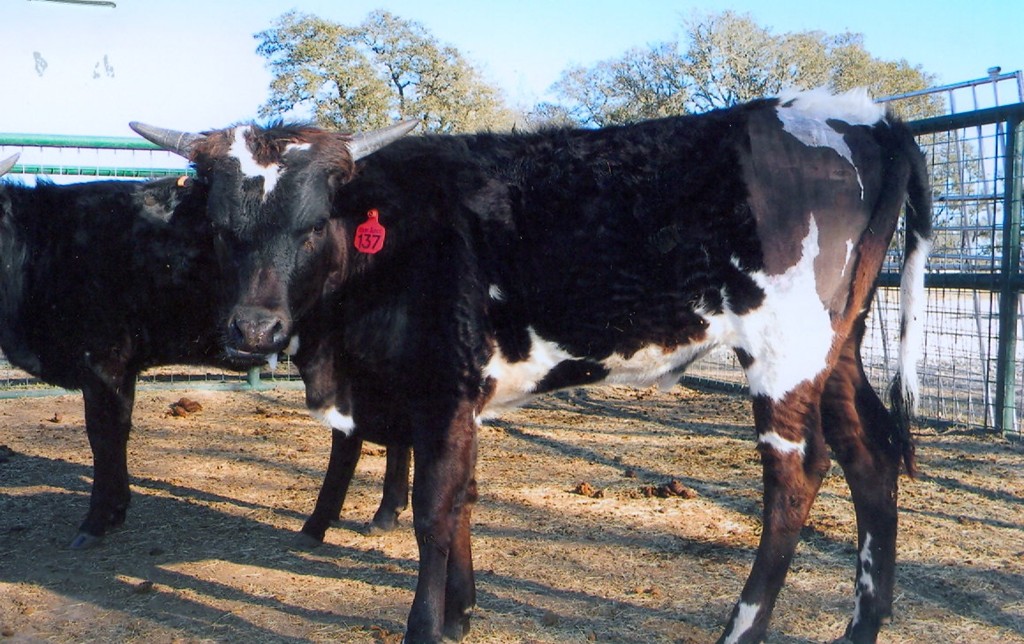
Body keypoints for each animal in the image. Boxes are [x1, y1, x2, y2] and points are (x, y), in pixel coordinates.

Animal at [0, 154, 409, 548]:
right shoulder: (122, 369)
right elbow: (118, 432)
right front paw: (116, 509)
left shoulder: (103, 362)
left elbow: (104, 436)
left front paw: (98, 520)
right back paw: (385, 514)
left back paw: (323, 521)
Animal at [132, 87, 932, 644]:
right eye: (221, 228)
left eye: (311, 224)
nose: (252, 328)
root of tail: (864, 114)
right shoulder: (456, 400)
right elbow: (463, 497)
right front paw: (462, 610)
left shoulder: (441, 389)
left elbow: (432, 508)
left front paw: (426, 625)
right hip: (840, 344)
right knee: (870, 454)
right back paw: (863, 624)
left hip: (784, 349)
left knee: (796, 478)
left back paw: (742, 627)